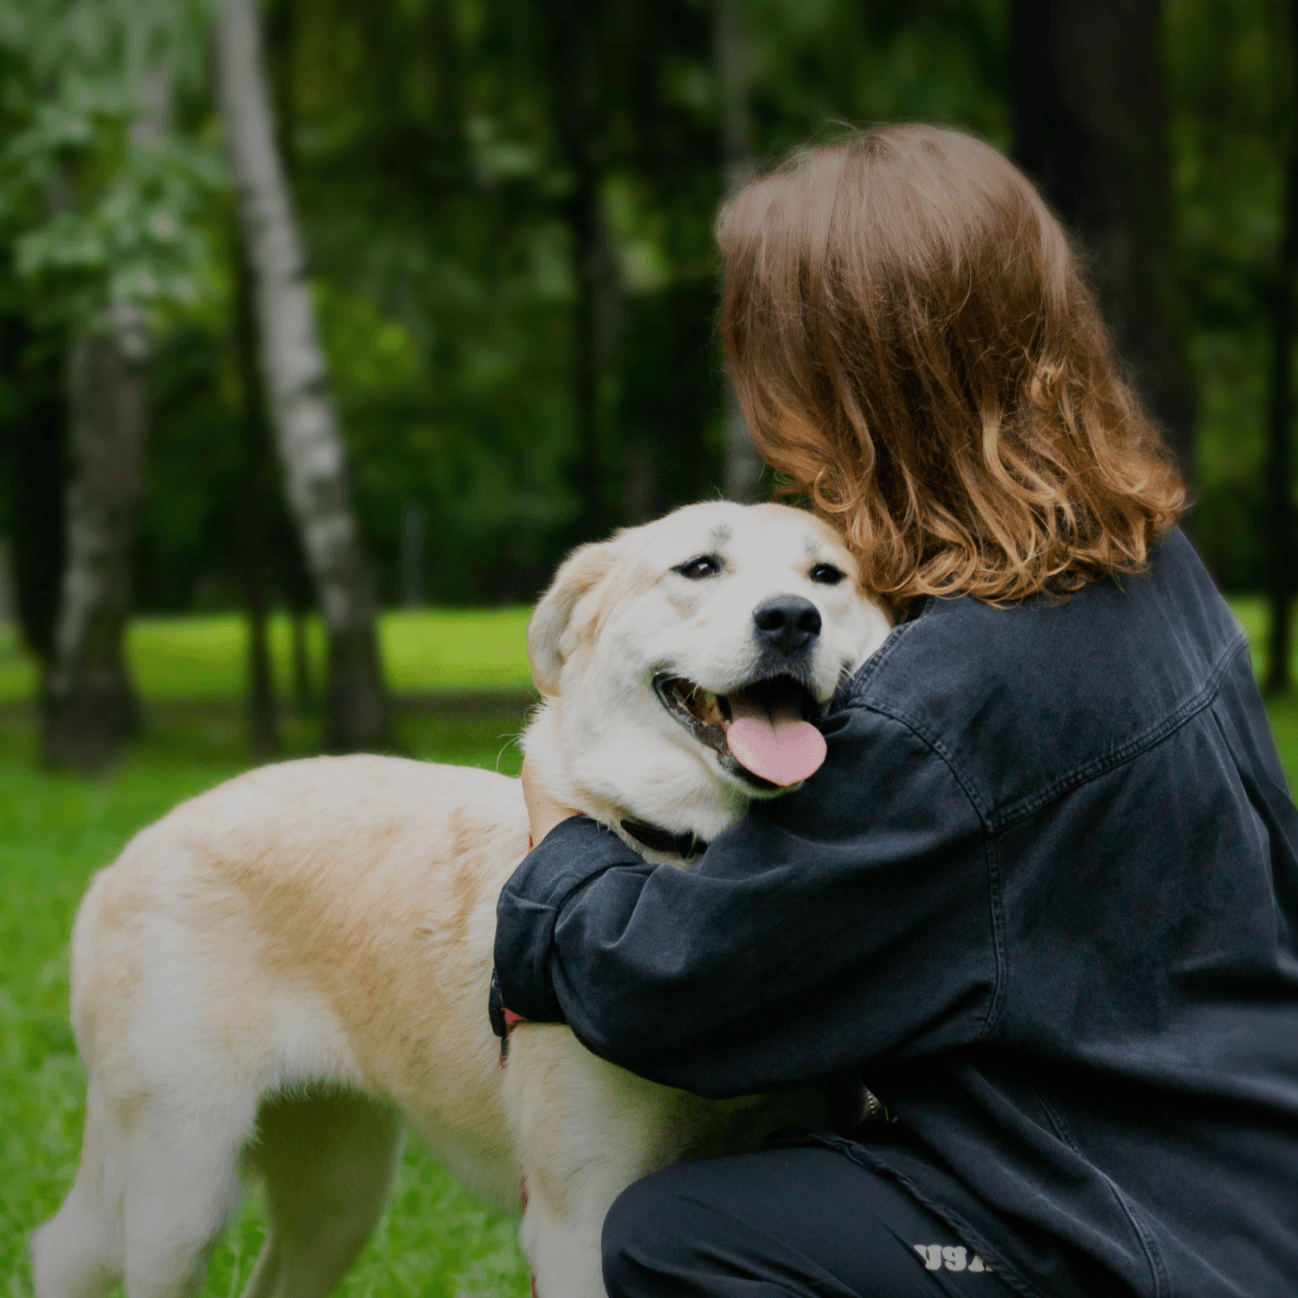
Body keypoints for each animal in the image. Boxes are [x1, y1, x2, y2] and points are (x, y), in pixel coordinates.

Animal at [37, 501, 893, 1298]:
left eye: (827, 577)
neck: (699, 862)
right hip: (181, 1191)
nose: (792, 619)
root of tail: (126, 856)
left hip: (338, 1192)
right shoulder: (581, 1220)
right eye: (701, 568)